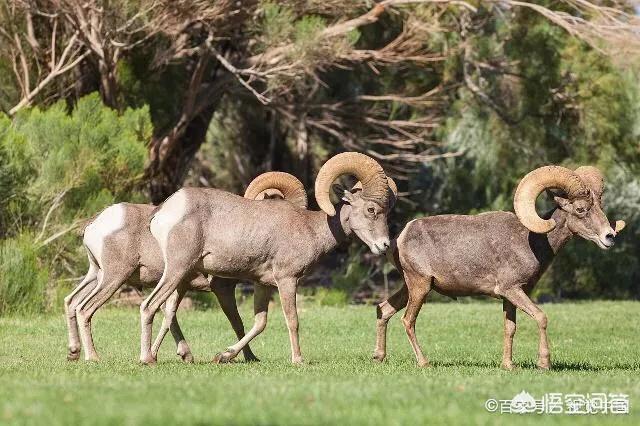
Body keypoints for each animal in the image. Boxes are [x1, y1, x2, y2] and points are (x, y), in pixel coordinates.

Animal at [65, 171, 308, 362]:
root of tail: (95, 224)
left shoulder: (181, 285)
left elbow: (169, 316)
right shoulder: (221, 288)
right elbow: (236, 323)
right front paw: (245, 357)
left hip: (96, 275)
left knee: (71, 302)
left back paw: (74, 353)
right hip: (115, 277)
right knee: (84, 308)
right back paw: (93, 357)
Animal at [142, 151, 398, 364]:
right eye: (372, 210)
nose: (384, 245)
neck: (311, 229)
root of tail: (166, 210)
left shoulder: (262, 284)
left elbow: (259, 323)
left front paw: (225, 356)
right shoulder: (286, 280)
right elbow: (292, 320)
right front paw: (298, 360)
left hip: (182, 277)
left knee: (167, 311)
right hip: (177, 269)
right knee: (149, 306)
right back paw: (147, 359)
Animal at [376, 166, 624, 370]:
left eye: (600, 207)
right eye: (581, 209)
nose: (609, 237)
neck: (531, 241)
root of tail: (400, 238)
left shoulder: (510, 297)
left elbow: (509, 328)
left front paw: (508, 366)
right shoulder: (512, 290)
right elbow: (541, 317)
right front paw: (544, 364)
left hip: (410, 287)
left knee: (385, 310)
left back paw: (378, 357)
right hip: (420, 286)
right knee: (408, 321)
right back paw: (424, 362)